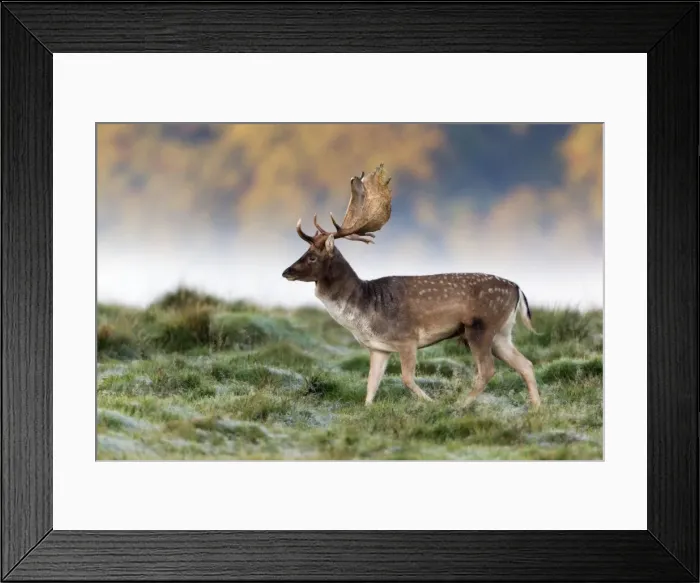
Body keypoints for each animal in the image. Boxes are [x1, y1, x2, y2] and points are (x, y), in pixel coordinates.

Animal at [282, 163, 541, 410]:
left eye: (312, 257)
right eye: (304, 251)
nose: (286, 272)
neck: (365, 311)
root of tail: (518, 289)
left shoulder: (408, 338)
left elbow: (406, 378)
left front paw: (431, 403)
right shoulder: (379, 348)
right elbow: (371, 385)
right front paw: (368, 409)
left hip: (481, 327)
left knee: (487, 370)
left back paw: (459, 405)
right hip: (502, 333)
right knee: (526, 364)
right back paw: (537, 407)